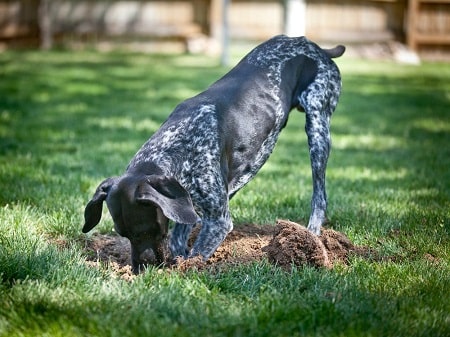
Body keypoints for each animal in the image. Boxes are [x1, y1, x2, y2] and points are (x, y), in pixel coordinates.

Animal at [82, 34, 346, 272]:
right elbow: (178, 241)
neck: (174, 147)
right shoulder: (186, 203)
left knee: (320, 195)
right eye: (123, 234)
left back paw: (312, 237)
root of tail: (316, 47)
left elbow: (195, 255)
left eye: (146, 230)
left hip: (317, 127)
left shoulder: (218, 222)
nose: (140, 270)